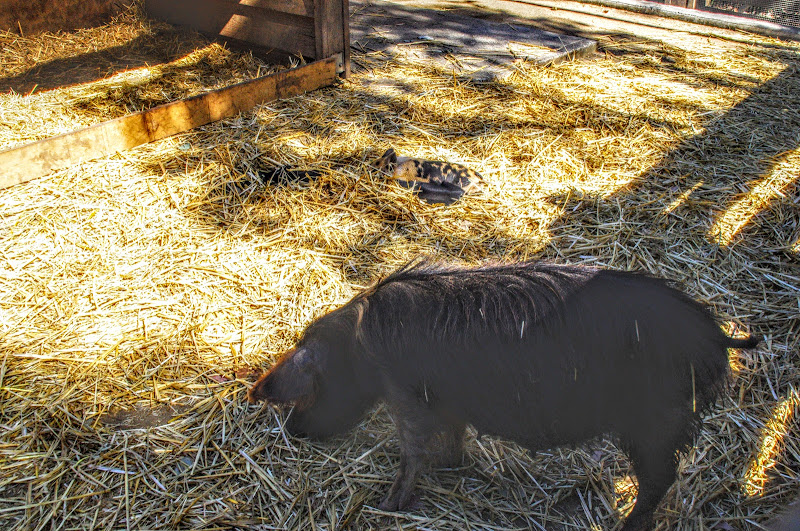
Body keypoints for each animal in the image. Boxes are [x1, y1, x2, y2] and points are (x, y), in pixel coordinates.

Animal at [247, 259, 759, 531]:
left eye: (310, 389)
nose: (294, 430)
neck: (359, 347)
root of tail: (713, 335)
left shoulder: (405, 395)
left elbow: (412, 451)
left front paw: (388, 506)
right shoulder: (442, 400)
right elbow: (452, 434)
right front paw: (451, 466)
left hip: (655, 420)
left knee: (660, 478)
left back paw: (626, 525)